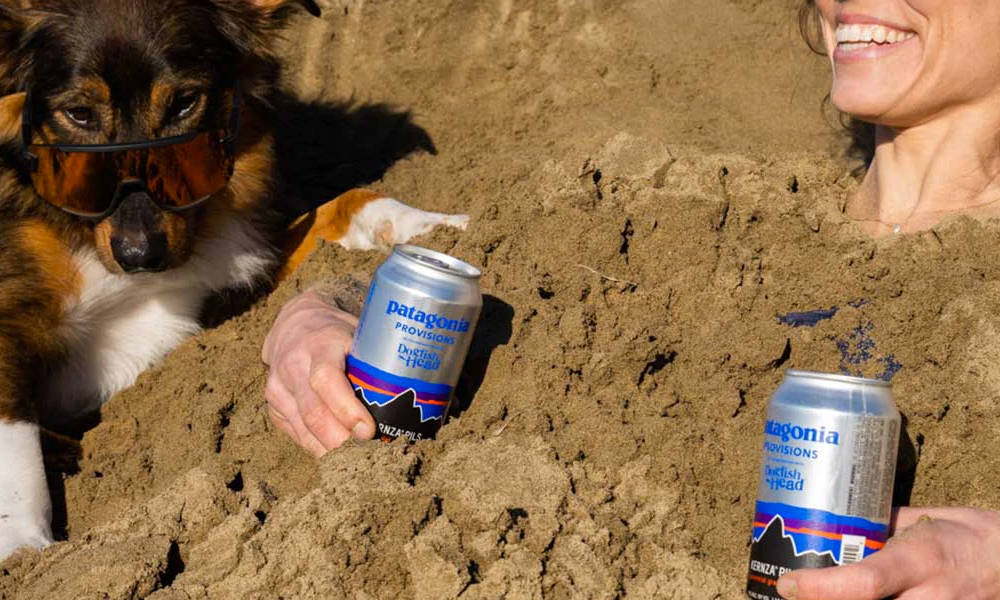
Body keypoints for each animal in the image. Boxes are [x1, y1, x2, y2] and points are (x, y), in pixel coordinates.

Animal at [0, 0, 467, 560]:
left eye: (184, 103)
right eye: (79, 114)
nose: (141, 256)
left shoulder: (233, 269)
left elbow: (344, 205)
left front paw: (434, 226)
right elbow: (13, 442)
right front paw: (24, 546)